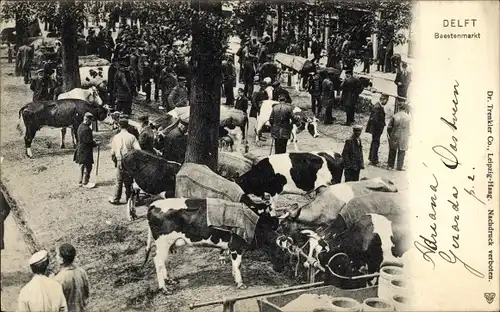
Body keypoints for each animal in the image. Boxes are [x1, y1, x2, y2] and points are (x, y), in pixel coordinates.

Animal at [141, 197, 274, 292]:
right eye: (264, 213)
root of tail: (153, 204)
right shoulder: (237, 246)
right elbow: (238, 265)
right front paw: (240, 283)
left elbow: (233, 264)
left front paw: (234, 277)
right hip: (163, 242)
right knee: (158, 261)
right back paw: (164, 288)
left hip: (166, 244)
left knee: (162, 262)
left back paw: (169, 280)